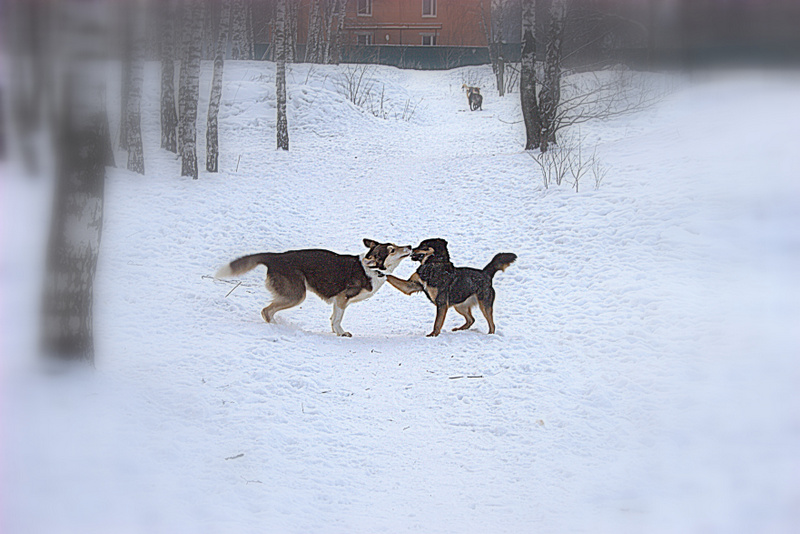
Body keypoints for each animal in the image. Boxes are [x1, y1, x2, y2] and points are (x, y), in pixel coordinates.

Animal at [214, 241, 412, 338]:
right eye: (392, 250)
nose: (410, 247)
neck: (372, 269)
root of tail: (274, 257)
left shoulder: (338, 301)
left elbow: (333, 318)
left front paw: (335, 331)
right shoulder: (342, 299)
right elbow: (337, 319)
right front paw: (341, 333)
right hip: (296, 295)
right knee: (266, 311)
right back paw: (278, 328)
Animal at [390, 240, 520, 338]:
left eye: (424, 245)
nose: (411, 249)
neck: (433, 264)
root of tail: (486, 273)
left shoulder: (442, 302)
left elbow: (437, 323)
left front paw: (433, 335)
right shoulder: (411, 285)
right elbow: (392, 278)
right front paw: (384, 272)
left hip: (484, 304)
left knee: (491, 324)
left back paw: (490, 335)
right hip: (460, 305)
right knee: (471, 319)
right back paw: (459, 329)